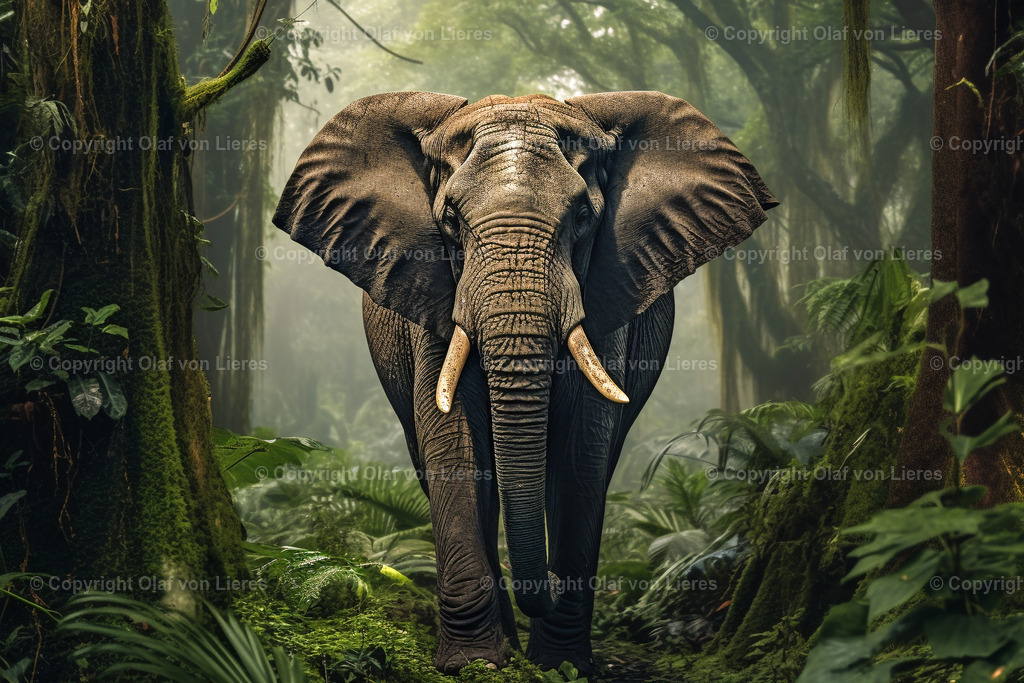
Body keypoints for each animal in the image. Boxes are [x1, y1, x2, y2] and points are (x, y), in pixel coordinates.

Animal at [272, 91, 777, 674]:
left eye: (582, 216)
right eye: (450, 219)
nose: (545, 586)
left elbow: (582, 447)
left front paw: (562, 665)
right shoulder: (433, 291)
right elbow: (453, 442)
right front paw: (473, 665)